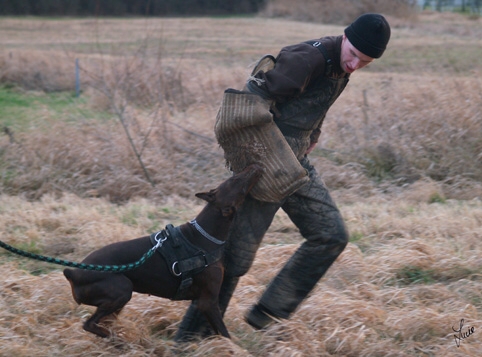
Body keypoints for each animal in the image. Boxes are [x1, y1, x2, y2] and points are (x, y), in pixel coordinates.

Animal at [63, 163, 264, 336]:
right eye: (234, 180)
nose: (255, 165)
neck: (206, 234)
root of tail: (73, 273)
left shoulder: (203, 301)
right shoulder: (208, 301)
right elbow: (225, 333)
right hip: (122, 289)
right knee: (89, 324)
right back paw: (117, 340)